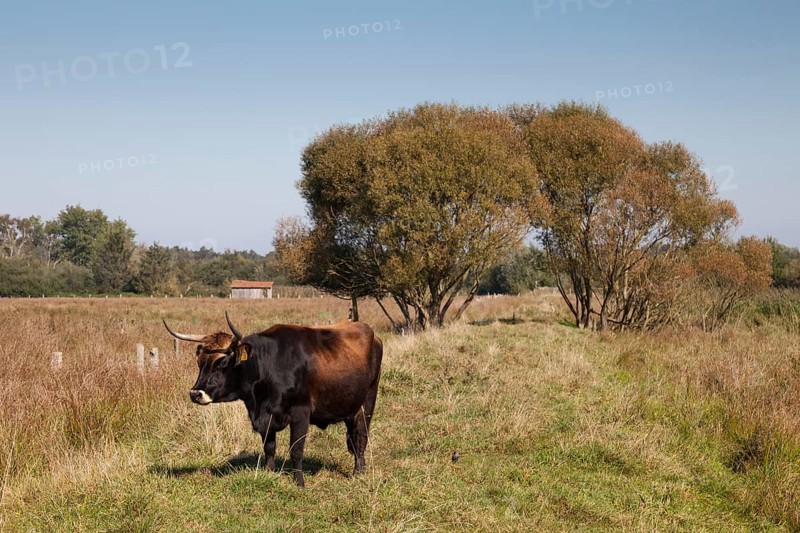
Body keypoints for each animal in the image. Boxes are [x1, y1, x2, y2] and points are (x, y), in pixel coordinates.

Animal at [163, 313, 382, 487]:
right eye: (200, 363)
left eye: (222, 363)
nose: (195, 394)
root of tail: (369, 330)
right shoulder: (264, 416)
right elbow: (269, 447)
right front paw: (269, 473)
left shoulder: (300, 413)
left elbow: (296, 449)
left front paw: (299, 482)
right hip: (349, 407)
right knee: (354, 437)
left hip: (367, 402)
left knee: (361, 437)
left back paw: (358, 472)